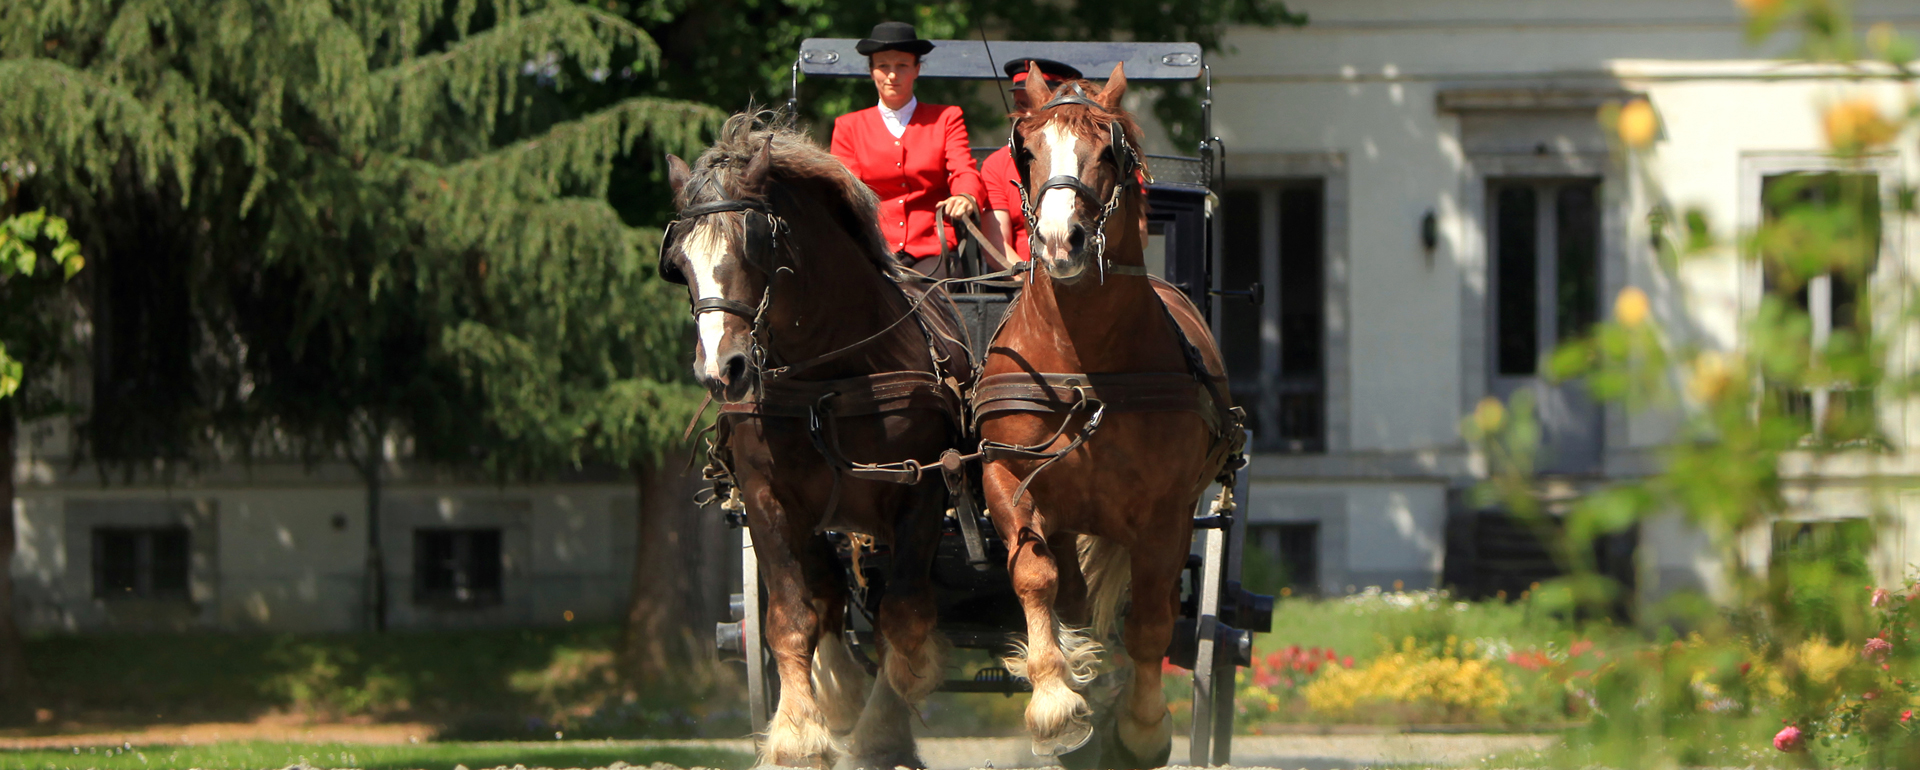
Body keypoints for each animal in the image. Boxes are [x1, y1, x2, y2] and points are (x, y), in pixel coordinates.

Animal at [660, 114, 967, 768]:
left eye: (754, 243)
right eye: (678, 260)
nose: (721, 370)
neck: (829, 376)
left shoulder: (924, 490)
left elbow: (902, 618)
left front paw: (880, 736)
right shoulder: (768, 499)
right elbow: (792, 615)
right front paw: (802, 732)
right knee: (826, 594)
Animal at [975, 67, 1244, 768]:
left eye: (1108, 153)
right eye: (1027, 151)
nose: (1059, 241)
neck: (1084, 367)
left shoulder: (1165, 512)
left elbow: (1149, 622)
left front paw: (1142, 726)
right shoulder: (1009, 482)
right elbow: (1035, 580)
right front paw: (1056, 704)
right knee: (1069, 594)